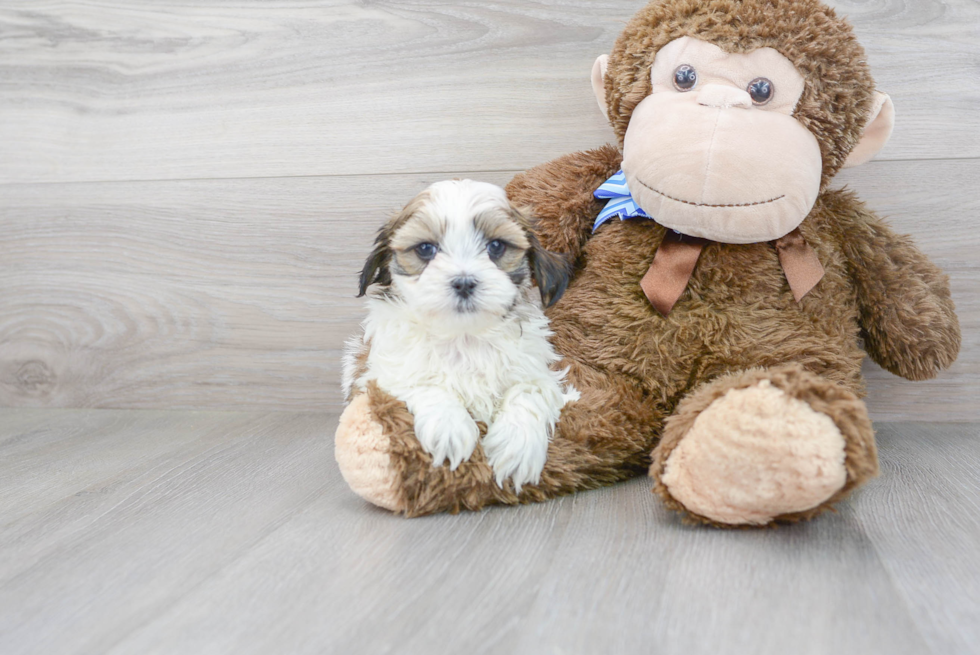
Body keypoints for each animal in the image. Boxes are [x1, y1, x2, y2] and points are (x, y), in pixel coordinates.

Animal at [342, 179, 580, 492]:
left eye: (496, 246)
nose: (464, 282)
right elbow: (423, 383)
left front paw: (517, 446)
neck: (463, 337)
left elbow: (528, 392)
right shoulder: (379, 377)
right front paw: (449, 428)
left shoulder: (538, 373)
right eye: (425, 249)